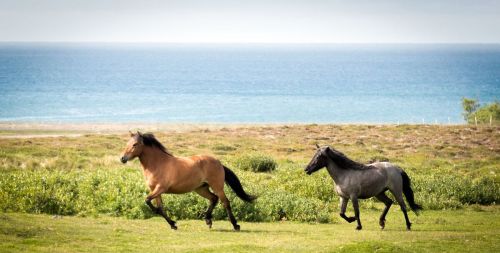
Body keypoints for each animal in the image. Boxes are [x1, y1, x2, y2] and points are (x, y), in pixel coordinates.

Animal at [120, 131, 254, 230]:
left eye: (135, 144)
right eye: (127, 143)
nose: (122, 158)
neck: (158, 164)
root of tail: (219, 162)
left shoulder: (160, 189)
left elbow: (148, 200)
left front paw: (171, 221)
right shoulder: (155, 190)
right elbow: (160, 207)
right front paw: (173, 224)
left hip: (217, 186)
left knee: (225, 202)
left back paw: (235, 225)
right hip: (201, 188)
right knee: (213, 199)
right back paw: (208, 220)